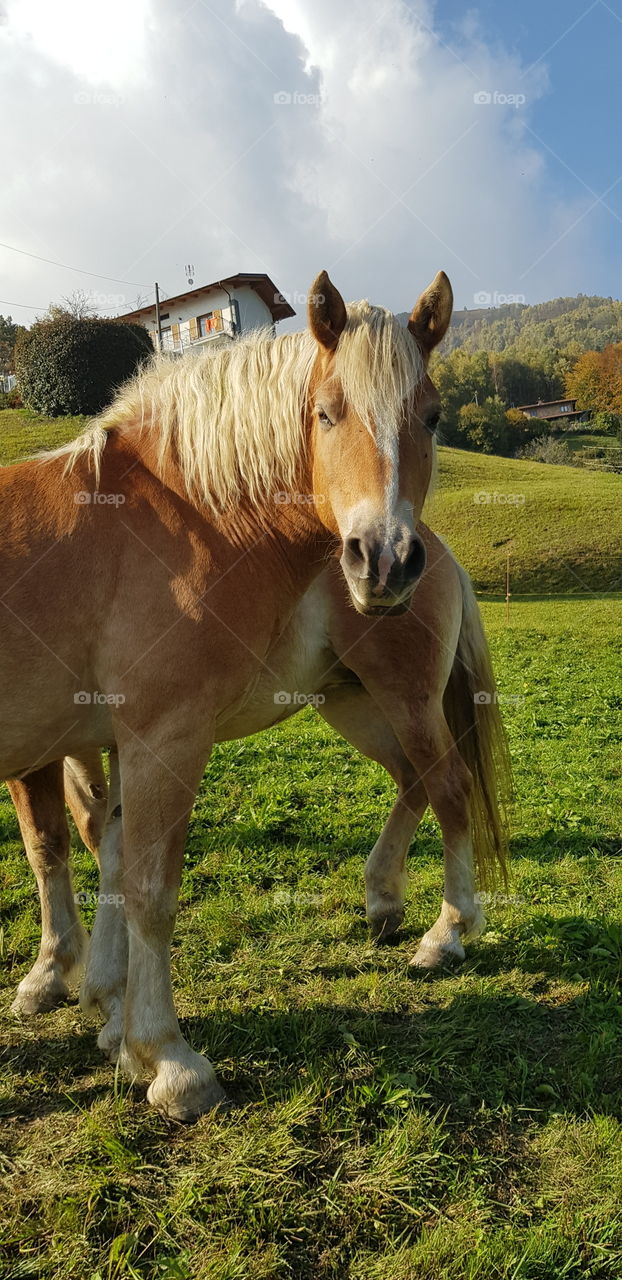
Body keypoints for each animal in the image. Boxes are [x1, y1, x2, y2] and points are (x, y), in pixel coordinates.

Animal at [7, 524, 506, 1034]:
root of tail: (426, 543)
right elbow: (93, 841)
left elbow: (48, 846)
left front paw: (52, 973)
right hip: (351, 699)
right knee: (413, 778)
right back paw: (384, 903)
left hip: (405, 696)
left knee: (449, 785)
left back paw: (445, 935)